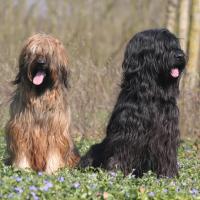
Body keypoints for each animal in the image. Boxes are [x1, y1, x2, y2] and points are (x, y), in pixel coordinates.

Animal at [5, 33, 79, 173]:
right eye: (33, 52)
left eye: (50, 53)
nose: (41, 62)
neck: (40, 96)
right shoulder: (21, 129)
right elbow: (22, 150)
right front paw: (22, 169)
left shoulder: (55, 132)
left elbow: (54, 152)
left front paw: (52, 170)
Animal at [80, 28, 186, 177]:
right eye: (161, 45)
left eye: (176, 44)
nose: (180, 55)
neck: (151, 94)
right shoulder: (127, 132)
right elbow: (121, 153)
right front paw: (116, 174)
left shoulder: (167, 133)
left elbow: (167, 154)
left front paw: (169, 176)